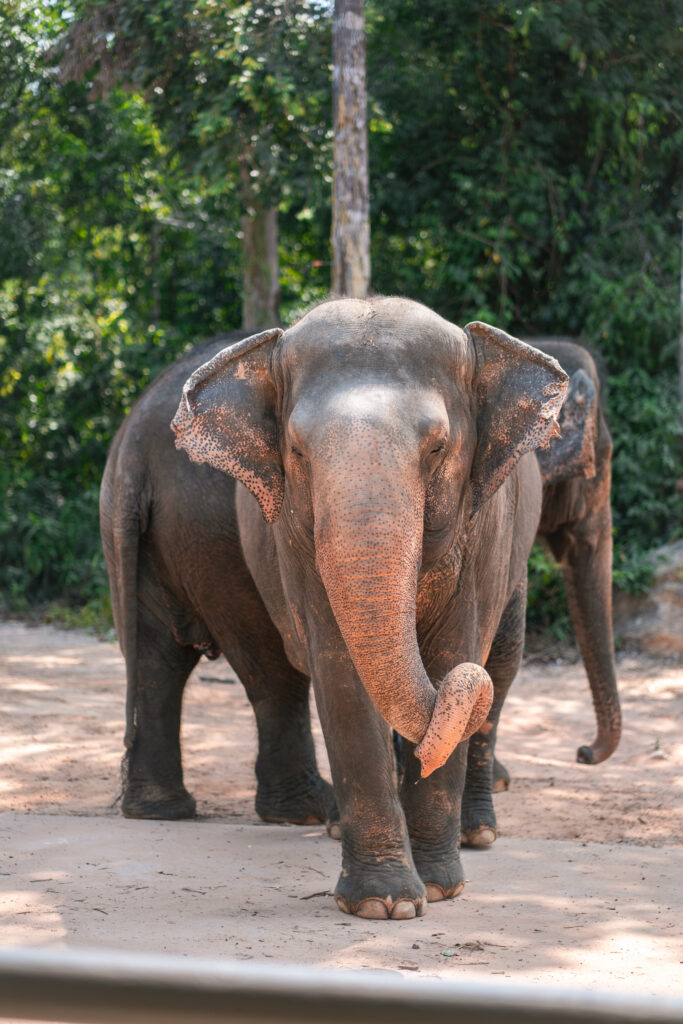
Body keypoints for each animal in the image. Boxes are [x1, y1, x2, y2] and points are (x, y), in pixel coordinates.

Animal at [167, 299, 569, 921]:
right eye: (297, 452)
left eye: (437, 448)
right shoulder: (295, 543)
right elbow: (341, 672)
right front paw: (386, 904)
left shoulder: (487, 528)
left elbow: (455, 649)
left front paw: (439, 890)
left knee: (500, 665)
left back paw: (476, 834)